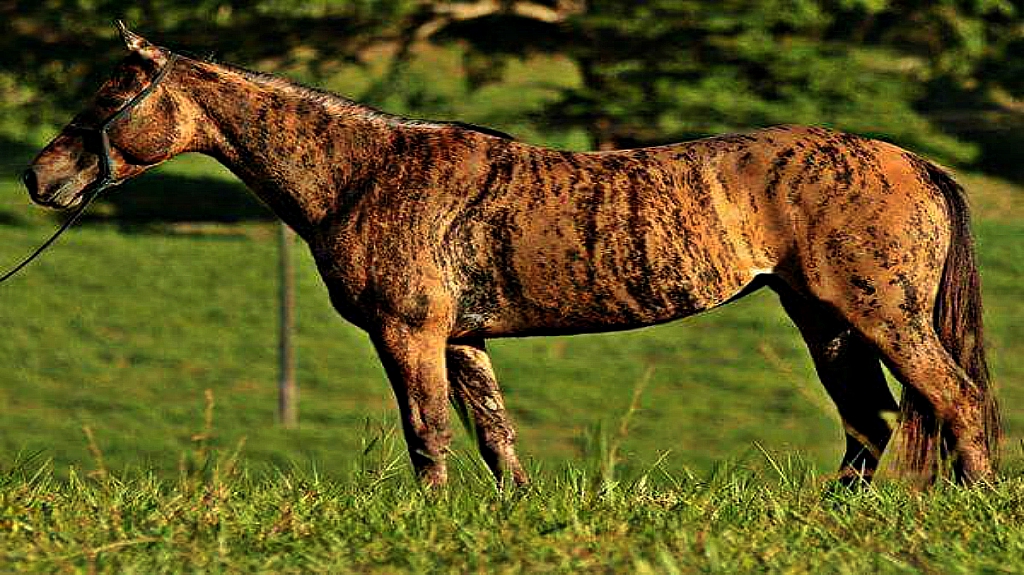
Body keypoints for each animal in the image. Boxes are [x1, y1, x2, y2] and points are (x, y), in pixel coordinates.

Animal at [23, 25, 999, 488]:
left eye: (109, 93)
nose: (40, 175)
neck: (366, 172)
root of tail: (913, 161)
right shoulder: (463, 339)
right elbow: (497, 437)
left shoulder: (410, 333)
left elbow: (428, 434)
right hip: (826, 320)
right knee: (870, 423)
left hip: (880, 314)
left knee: (955, 400)